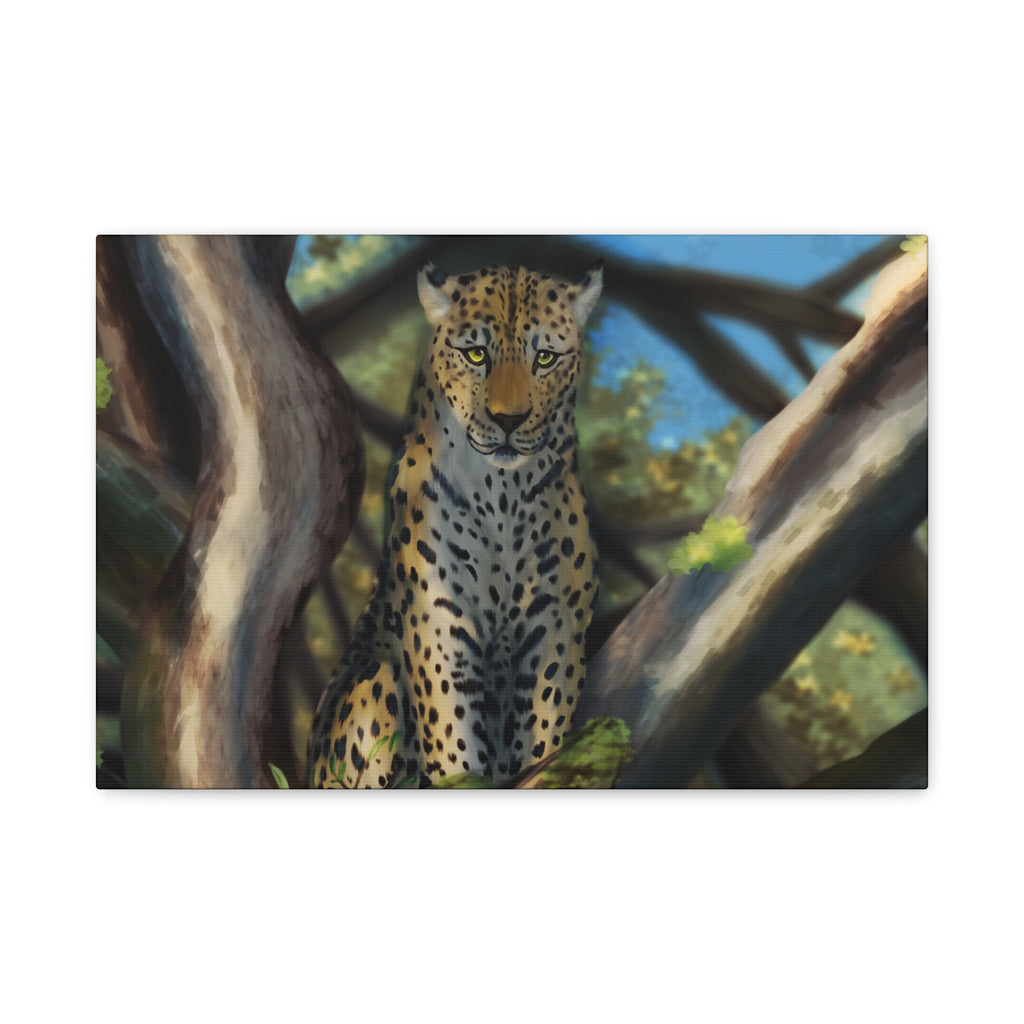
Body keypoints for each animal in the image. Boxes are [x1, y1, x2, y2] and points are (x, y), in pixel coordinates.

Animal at [307, 259, 603, 788]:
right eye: (476, 353)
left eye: (545, 358)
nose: (509, 420)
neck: (503, 494)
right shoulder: (440, 623)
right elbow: (454, 740)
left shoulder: (555, 625)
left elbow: (544, 732)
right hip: (372, 687)